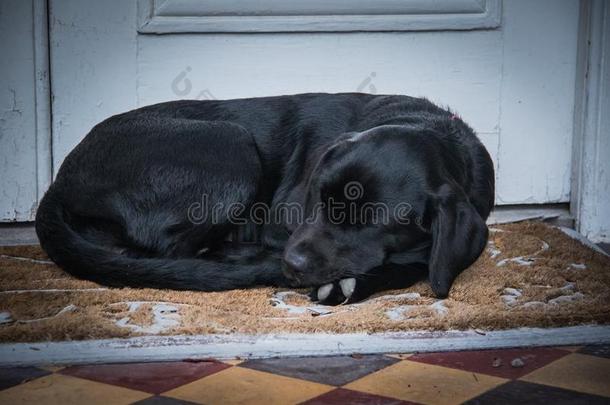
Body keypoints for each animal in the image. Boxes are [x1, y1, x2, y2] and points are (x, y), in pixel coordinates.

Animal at [35, 93, 494, 304]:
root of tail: (59, 180)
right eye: (318, 198)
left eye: (370, 223)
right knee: (170, 250)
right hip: (231, 144)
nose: (293, 264)